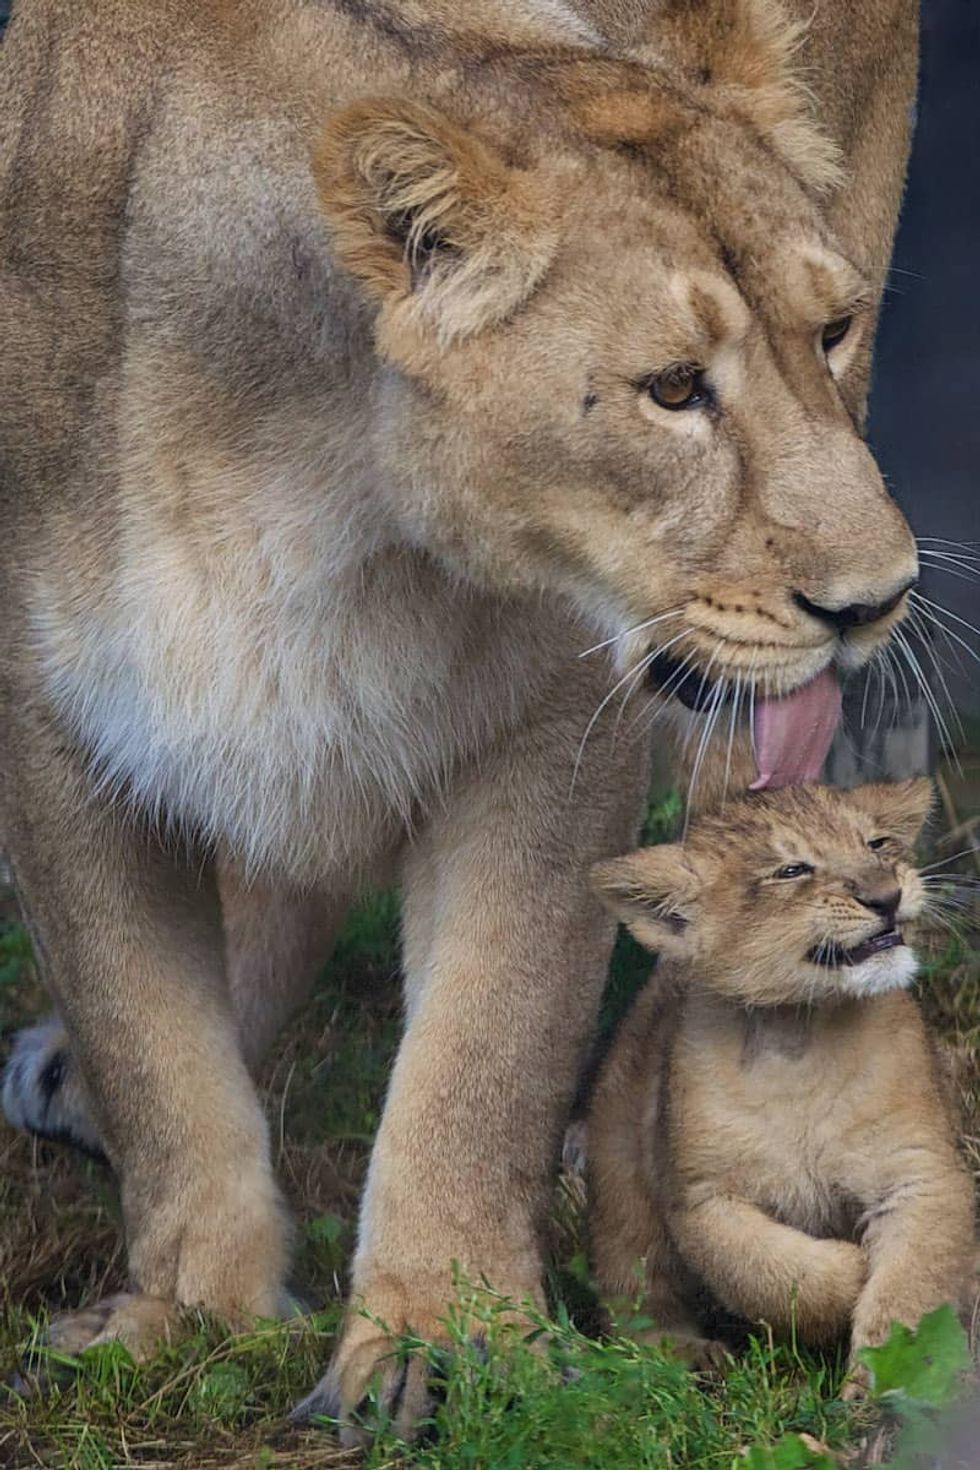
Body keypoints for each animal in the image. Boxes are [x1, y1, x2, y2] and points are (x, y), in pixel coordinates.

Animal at [0, 0, 919, 1439]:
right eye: (671, 389)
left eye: (828, 332)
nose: (878, 598)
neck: (311, 485)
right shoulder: (53, 728)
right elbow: (146, 1037)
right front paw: (191, 1305)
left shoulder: (555, 725)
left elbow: (487, 1047)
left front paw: (445, 1338)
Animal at [587, 780, 976, 1378]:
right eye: (792, 870)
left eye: (876, 843)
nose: (887, 895)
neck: (799, 1035)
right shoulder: (702, 1197)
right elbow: (763, 1270)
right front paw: (850, 1270)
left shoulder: (918, 1174)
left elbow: (909, 1295)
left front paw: (882, 1388)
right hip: (618, 1176)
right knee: (634, 1291)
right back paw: (687, 1359)